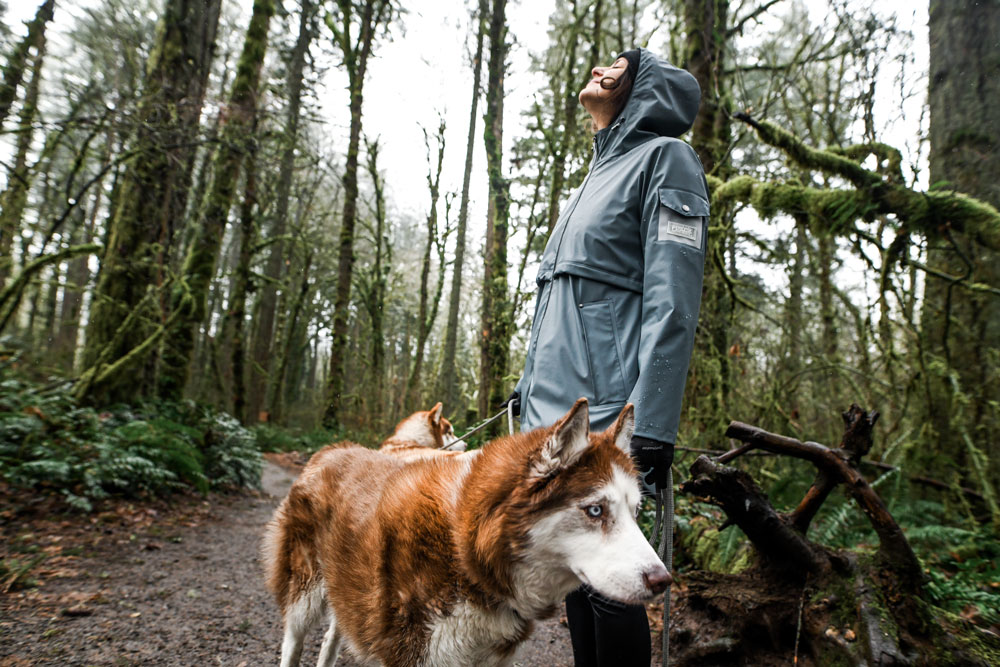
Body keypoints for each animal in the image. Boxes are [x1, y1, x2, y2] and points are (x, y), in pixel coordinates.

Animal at [264, 400, 672, 664]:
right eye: (595, 510)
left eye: (636, 512)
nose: (662, 580)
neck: (467, 549)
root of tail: (329, 450)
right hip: (304, 596)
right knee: (293, 642)